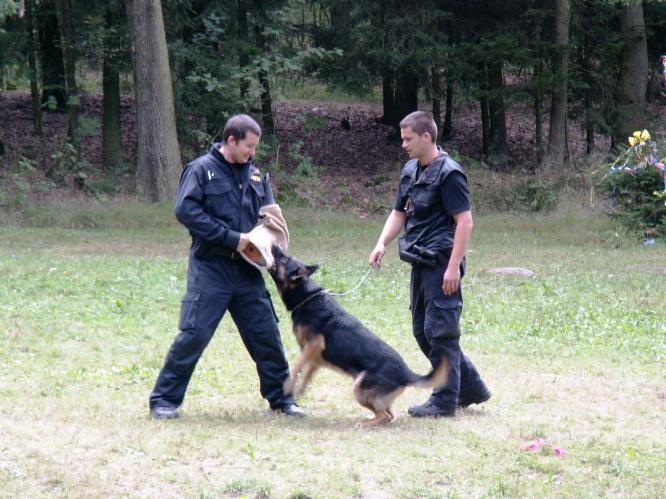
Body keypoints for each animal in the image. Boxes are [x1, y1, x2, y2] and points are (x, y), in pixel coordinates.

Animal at [266, 245, 446, 426]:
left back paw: (364, 424)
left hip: (359, 389)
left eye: (285, 259)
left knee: (385, 416)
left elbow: (296, 366)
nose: (274, 245)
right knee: (389, 415)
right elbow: (307, 372)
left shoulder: (314, 345)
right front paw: (301, 389)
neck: (306, 296)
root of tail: (406, 373)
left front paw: (288, 386)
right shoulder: (314, 356)